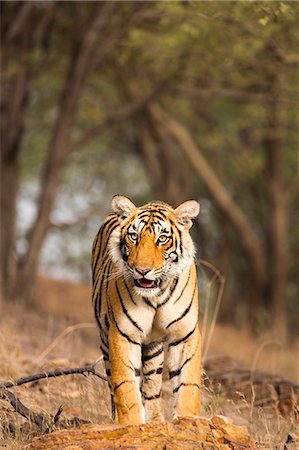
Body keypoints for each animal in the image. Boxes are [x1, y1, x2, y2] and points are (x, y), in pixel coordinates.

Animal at [91, 195, 202, 424]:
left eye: (162, 239)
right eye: (134, 236)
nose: (142, 270)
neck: (156, 296)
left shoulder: (185, 335)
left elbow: (188, 383)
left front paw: (187, 420)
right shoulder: (123, 334)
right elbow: (126, 386)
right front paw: (131, 424)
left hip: (154, 348)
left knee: (152, 385)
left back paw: (156, 419)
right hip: (105, 342)